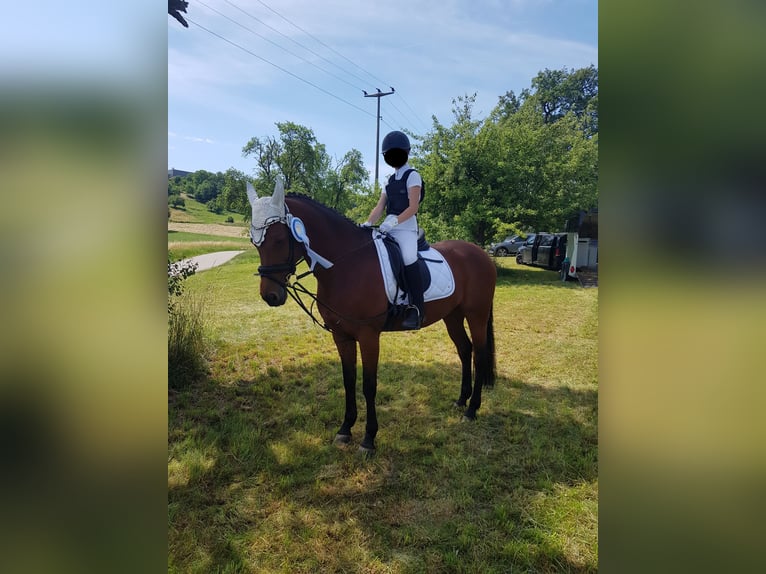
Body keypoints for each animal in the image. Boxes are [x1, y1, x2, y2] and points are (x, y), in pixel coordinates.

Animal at [246, 180, 498, 454]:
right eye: (255, 242)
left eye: (280, 239)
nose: (270, 296)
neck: (346, 264)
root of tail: (480, 252)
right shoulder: (341, 336)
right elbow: (348, 380)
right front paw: (345, 429)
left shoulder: (368, 336)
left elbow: (369, 385)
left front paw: (368, 438)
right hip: (452, 315)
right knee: (465, 350)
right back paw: (461, 400)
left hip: (476, 314)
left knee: (479, 354)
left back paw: (472, 409)